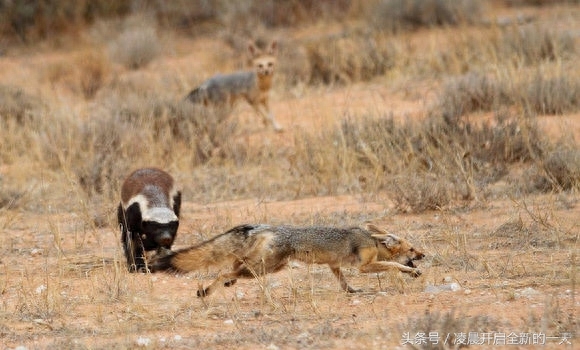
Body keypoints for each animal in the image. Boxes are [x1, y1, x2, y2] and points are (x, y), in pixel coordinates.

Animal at [153, 223, 426, 296]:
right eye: (413, 249)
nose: (425, 255)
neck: (373, 241)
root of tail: (267, 226)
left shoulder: (334, 265)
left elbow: (342, 281)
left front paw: (351, 291)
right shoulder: (365, 266)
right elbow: (392, 265)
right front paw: (411, 272)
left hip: (266, 265)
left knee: (235, 263)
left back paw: (223, 285)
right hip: (264, 269)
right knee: (225, 271)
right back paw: (208, 291)